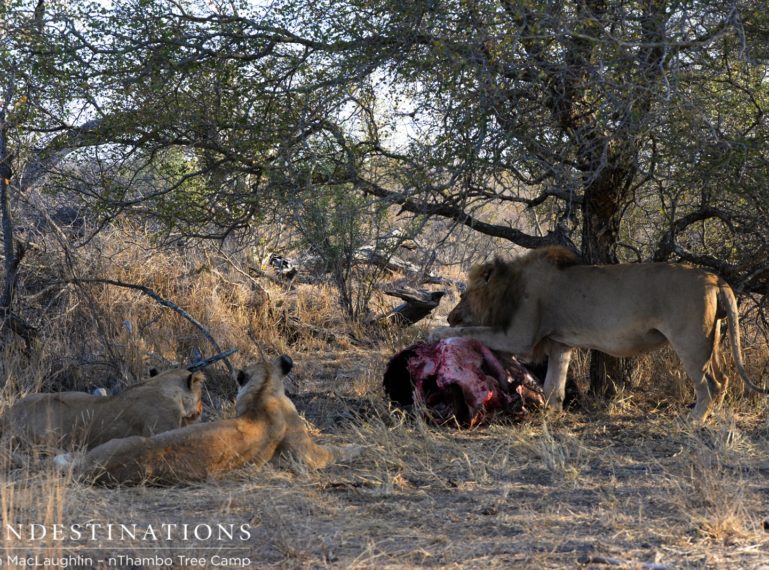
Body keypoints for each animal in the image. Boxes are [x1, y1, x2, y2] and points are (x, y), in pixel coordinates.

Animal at [432, 245, 768, 422]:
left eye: (463, 296)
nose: (449, 314)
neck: (510, 284)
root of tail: (715, 278)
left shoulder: (520, 335)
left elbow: (474, 330)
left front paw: (437, 332)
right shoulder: (560, 344)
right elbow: (554, 385)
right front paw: (552, 413)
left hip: (691, 339)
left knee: (712, 382)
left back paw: (693, 420)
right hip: (711, 336)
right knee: (723, 378)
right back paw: (711, 417)